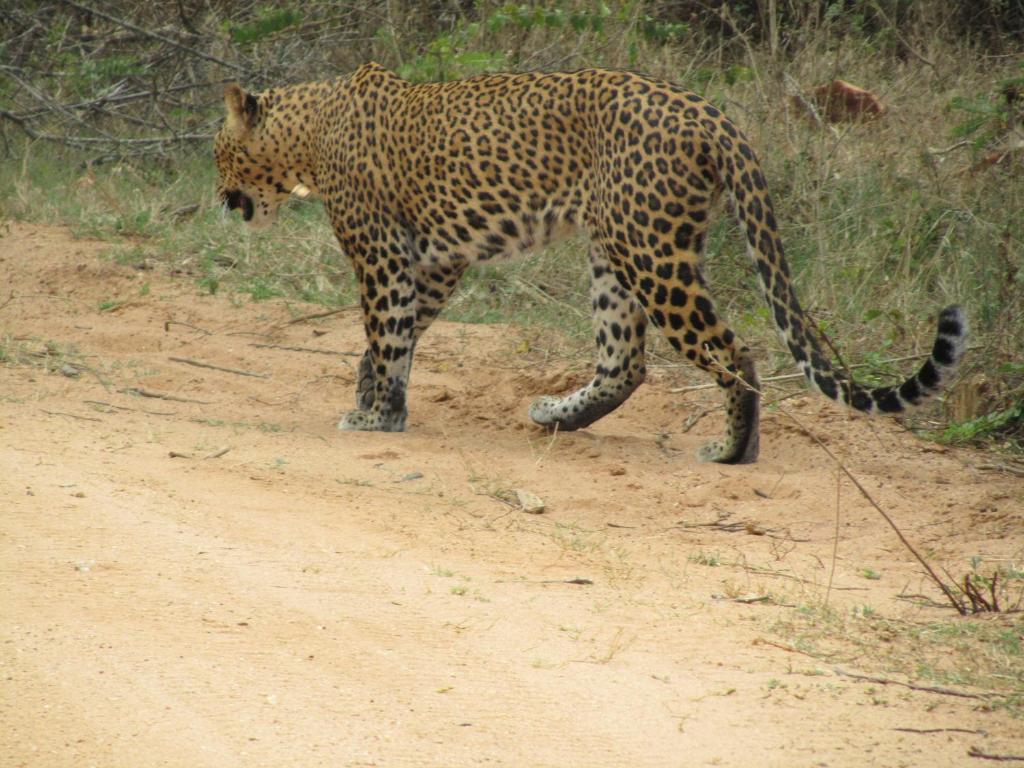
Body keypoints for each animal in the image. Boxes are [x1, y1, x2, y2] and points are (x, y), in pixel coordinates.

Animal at [216, 64, 966, 462]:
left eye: (220, 154)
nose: (220, 200)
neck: (307, 132)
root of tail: (712, 113)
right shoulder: (437, 260)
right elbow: (390, 340)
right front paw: (374, 398)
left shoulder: (381, 254)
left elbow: (388, 331)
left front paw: (375, 418)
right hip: (616, 254)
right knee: (625, 362)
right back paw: (557, 416)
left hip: (651, 254)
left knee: (733, 351)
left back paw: (732, 451)